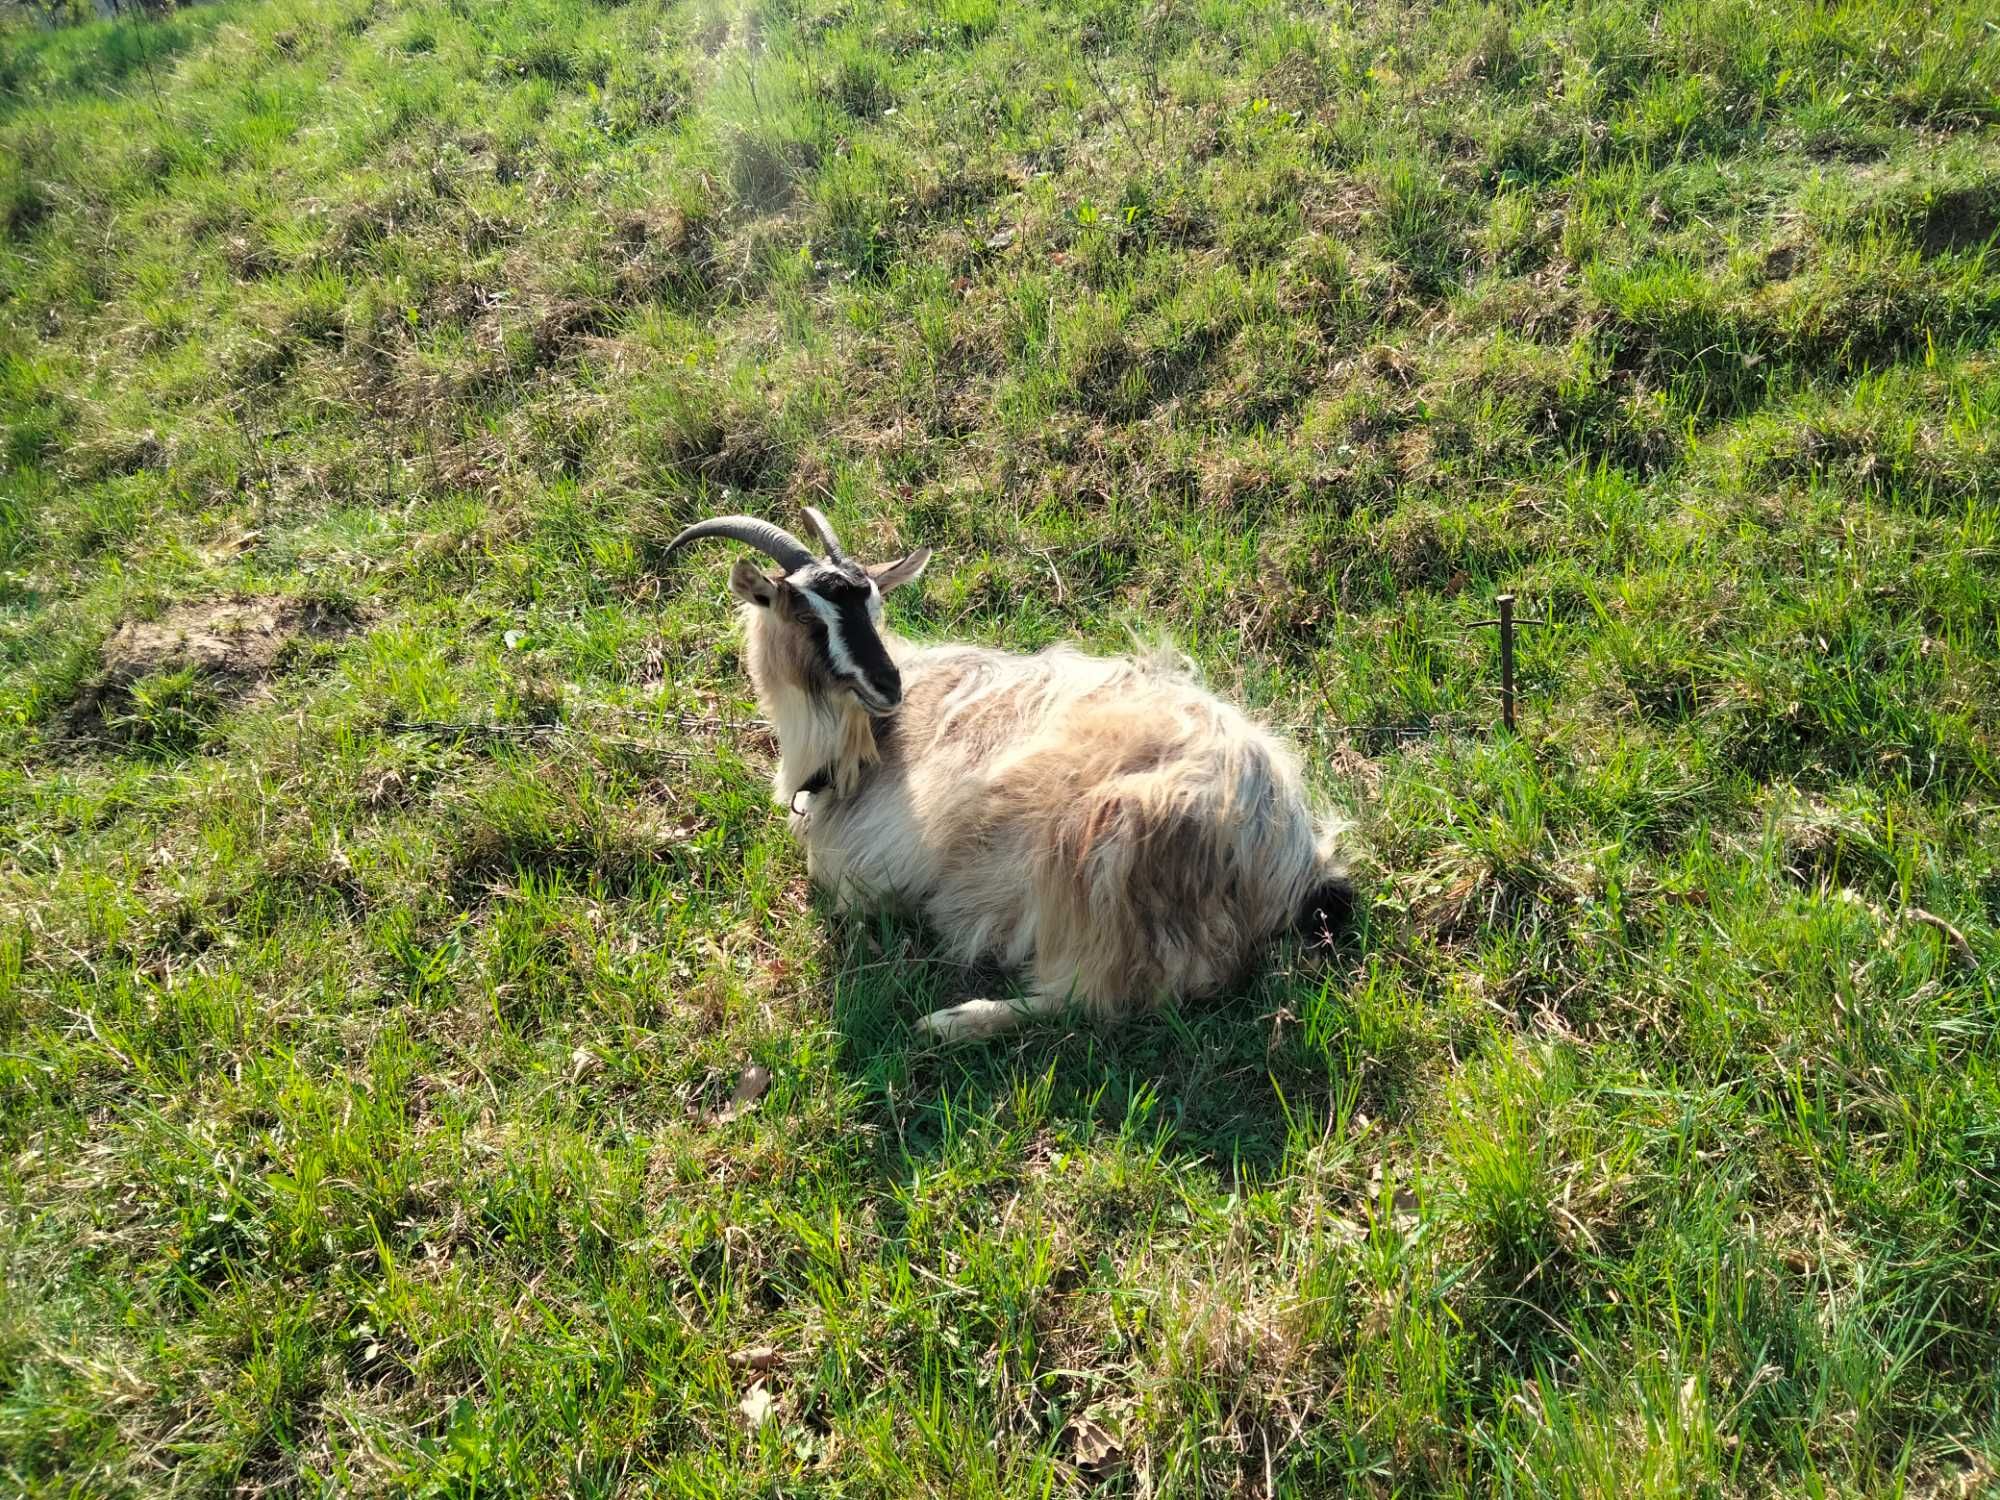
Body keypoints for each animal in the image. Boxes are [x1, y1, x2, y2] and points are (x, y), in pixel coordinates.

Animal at [664, 512, 1352, 1040]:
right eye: (809, 618)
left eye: (876, 606)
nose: (888, 684)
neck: (865, 744)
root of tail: (1289, 853)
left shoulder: (872, 870)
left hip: (1099, 849)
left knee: (1098, 996)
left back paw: (953, 1021)